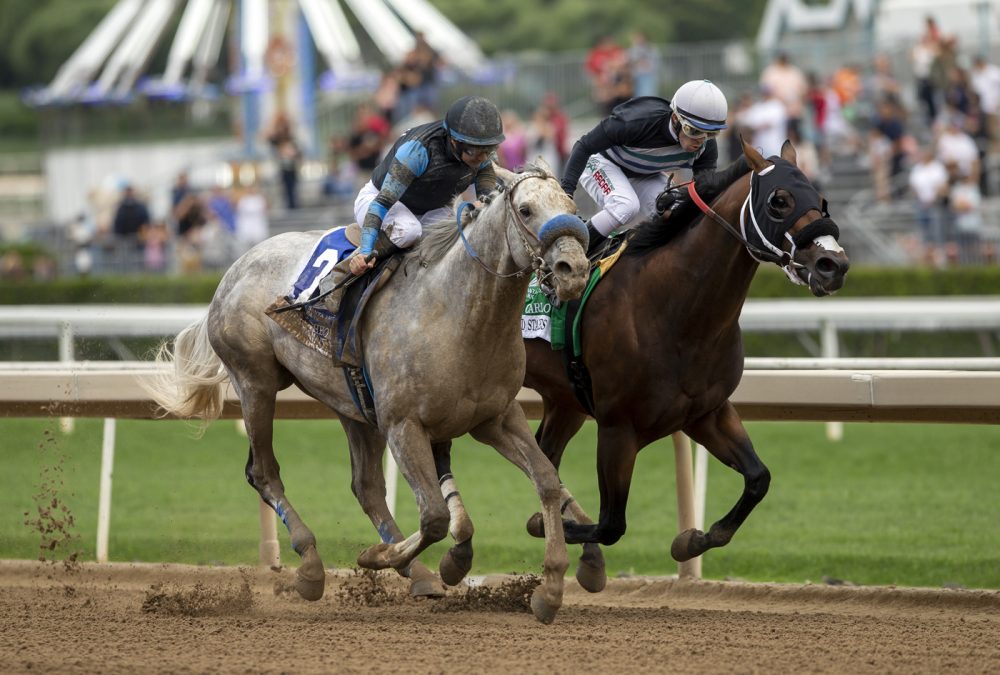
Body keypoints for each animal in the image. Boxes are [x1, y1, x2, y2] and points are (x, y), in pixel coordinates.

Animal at [145, 162, 588, 624]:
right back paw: (312, 566)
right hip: (255, 382)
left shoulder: (495, 417)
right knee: (264, 472)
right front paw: (380, 557)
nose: (573, 268)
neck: (460, 314)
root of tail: (235, 268)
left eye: (573, 206)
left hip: (352, 404)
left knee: (367, 486)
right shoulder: (403, 425)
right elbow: (433, 516)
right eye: (526, 209)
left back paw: (418, 573)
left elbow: (547, 481)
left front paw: (550, 588)